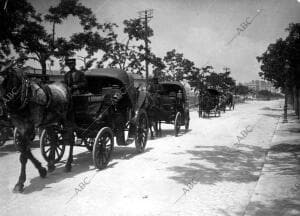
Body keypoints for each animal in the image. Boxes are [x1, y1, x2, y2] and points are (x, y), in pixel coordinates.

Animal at [0, 62, 74, 192]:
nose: (2, 111)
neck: (23, 97)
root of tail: (64, 86)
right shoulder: (20, 128)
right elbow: (25, 151)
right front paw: (41, 170)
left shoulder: (29, 128)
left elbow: (24, 155)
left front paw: (20, 182)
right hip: (48, 122)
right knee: (54, 139)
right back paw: (51, 164)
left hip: (66, 119)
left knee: (69, 138)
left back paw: (68, 164)